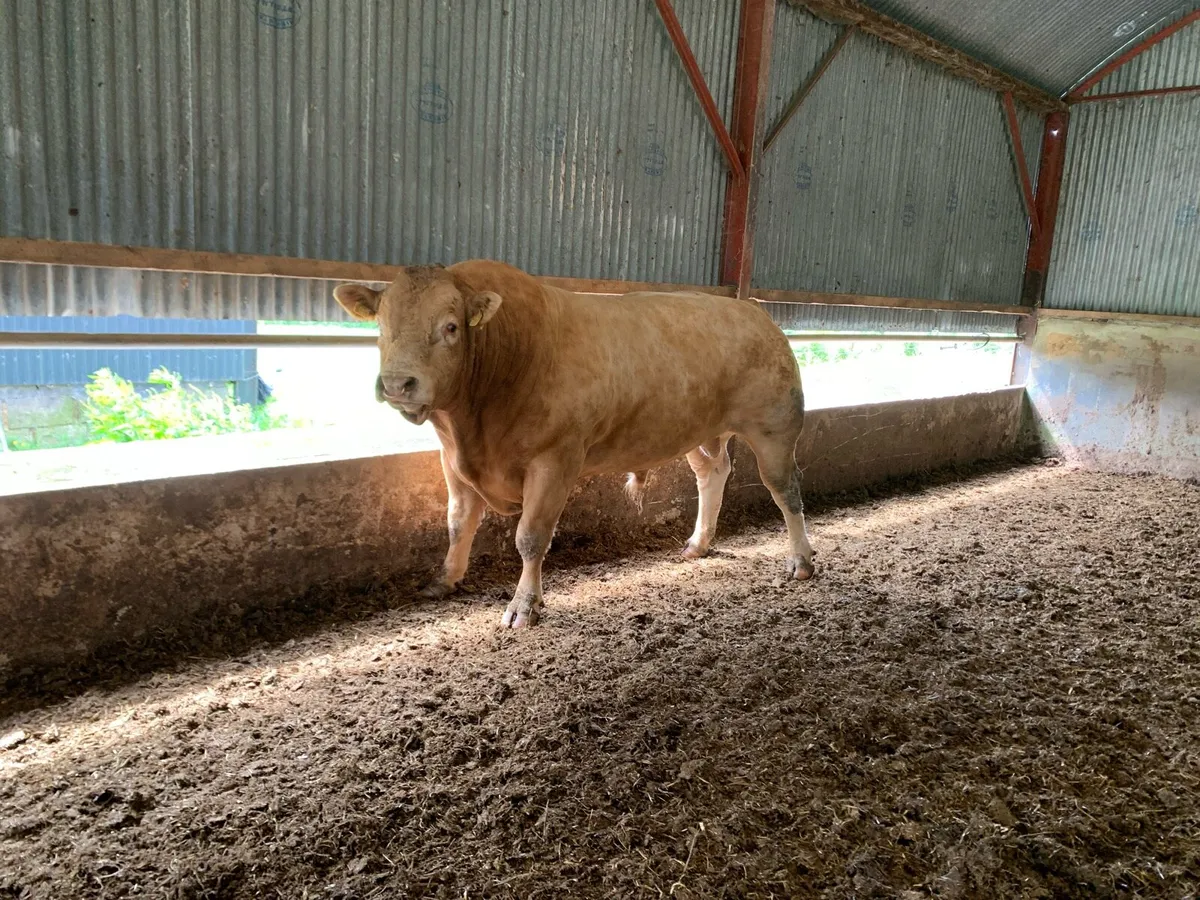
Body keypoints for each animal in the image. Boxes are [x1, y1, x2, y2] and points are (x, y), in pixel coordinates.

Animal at [333, 260, 815, 628]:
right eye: (381, 326)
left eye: (450, 327)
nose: (397, 383)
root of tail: (752, 310)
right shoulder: (452, 460)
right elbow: (456, 522)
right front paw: (446, 578)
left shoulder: (555, 460)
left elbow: (530, 537)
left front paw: (523, 606)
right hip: (696, 430)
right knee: (712, 474)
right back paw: (699, 543)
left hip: (774, 426)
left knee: (786, 491)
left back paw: (802, 561)